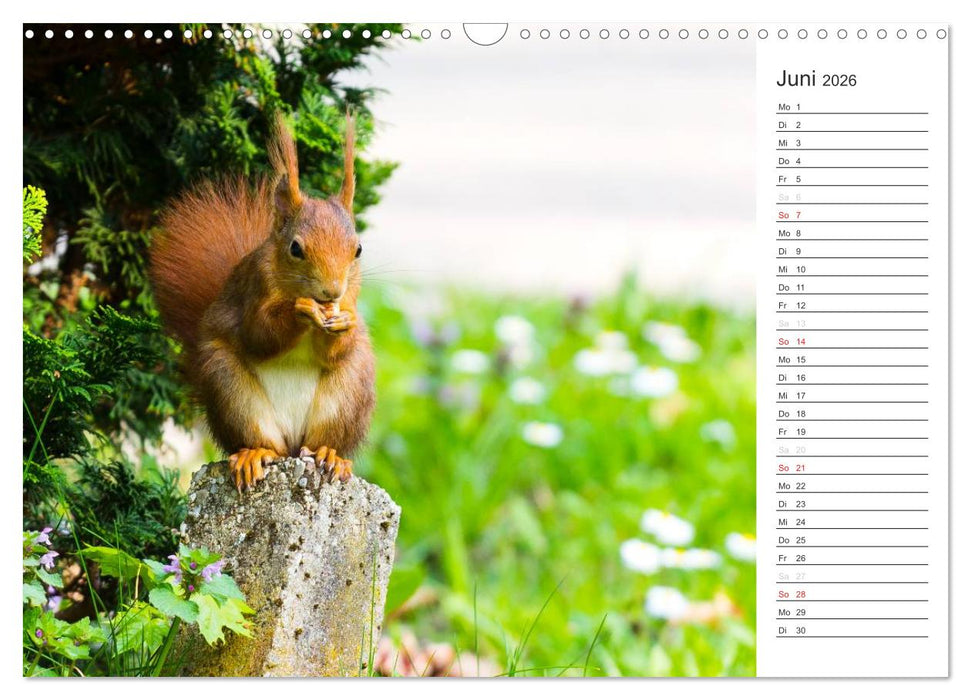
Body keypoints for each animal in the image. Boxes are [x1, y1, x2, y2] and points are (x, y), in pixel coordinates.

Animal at [149, 113, 375, 492]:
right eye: (295, 248)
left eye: (358, 250)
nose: (331, 292)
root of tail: (293, 444)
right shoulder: (253, 289)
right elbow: (259, 335)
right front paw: (300, 311)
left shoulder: (353, 296)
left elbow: (337, 347)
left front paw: (344, 323)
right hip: (230, 388)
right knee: (262, 441)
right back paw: (255, 454)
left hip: (348, 394)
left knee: (324, 437)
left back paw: (330, 454)